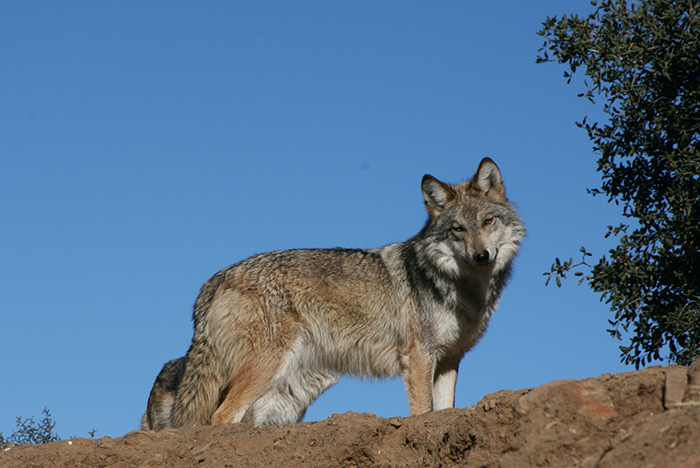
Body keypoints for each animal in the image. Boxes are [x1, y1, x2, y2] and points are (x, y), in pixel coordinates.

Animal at [142, 157, 524, 428]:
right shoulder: (418, 358)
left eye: (487, 222)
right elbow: (422, 411)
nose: (481, 256)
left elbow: (444, 411)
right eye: (458, 229)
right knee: (222, 416)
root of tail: (217, 278)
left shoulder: (448, 360)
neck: (460, 288)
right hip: (266, 366)